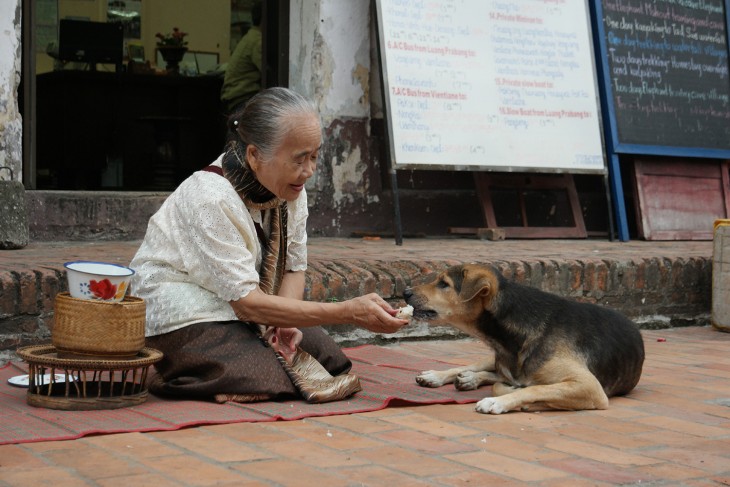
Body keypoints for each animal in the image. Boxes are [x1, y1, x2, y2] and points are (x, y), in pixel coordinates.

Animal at [400, 264, 644, 414]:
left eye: (444, 284)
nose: (405, 292)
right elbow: (505, 384)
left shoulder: (590, 387)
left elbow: (533, 388)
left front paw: (500, 401)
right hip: (493, 360)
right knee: (476, 367)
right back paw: (439, 376)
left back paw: (472, 379)